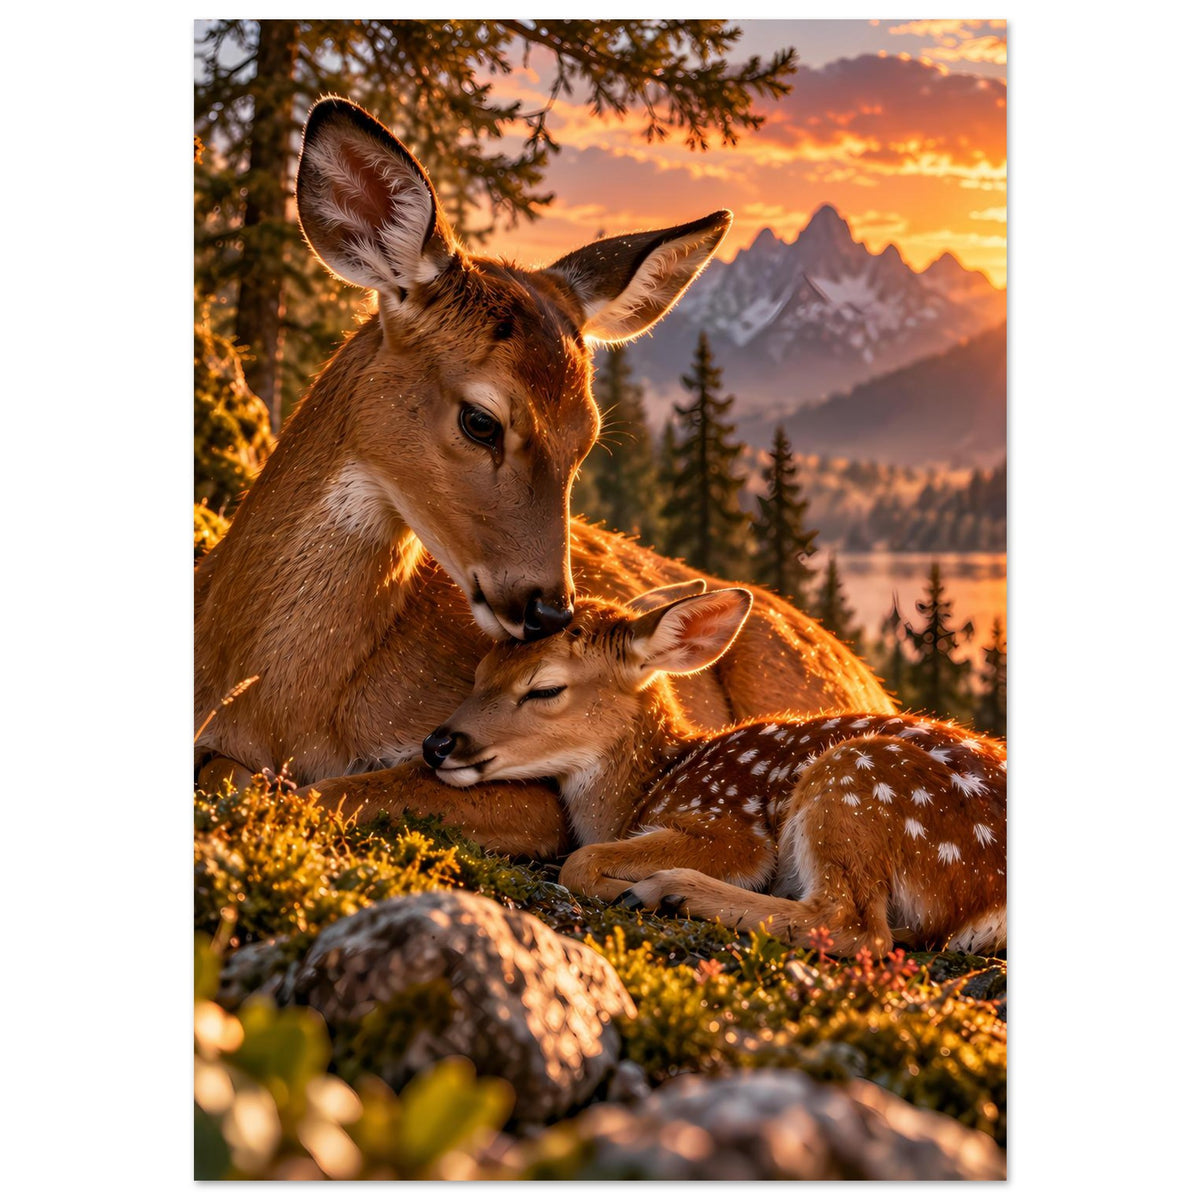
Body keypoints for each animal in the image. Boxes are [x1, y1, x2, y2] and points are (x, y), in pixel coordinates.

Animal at [194, 96, 895, 860]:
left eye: (587, 437)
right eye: (480, 420)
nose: (550, 610)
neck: (274, 703)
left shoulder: (530, 793)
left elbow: (326, 791)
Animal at [424, 583, 1007, 956]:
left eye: (545, 688)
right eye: (480, 671)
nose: (436, 744)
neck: (649, 784)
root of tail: (991, 897)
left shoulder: (728, 825)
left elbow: (581, 860)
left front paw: (623, 886)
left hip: (857, 779)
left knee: (855, 926)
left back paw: (667, 892)